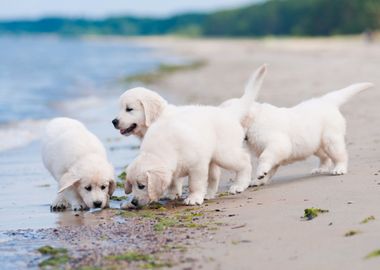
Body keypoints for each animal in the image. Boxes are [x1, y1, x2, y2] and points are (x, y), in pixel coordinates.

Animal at [124, 66, 268, 207]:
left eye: (142, 186)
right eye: (131, 185)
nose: (134, 202)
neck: (163, 149)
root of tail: (227, 113)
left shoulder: (197, 165)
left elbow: (195, 184)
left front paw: (194, 198)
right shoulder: (174, 168)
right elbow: (174, 181)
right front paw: (174, 194)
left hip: (224, 153)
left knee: (244, 160)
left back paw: (239, 185)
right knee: (215, 176)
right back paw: (209, 194)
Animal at [221, 78, 372, 186]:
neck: (254, 121)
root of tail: (326, 101)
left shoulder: (278, 145)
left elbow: (265, 157)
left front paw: (261, 173)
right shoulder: (275, 152)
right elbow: (271, 166)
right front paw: (260, 180)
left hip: (331, 139)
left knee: (340, 155)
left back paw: (339, 168)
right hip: (314, 144)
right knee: (324, 156)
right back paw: (321, 168)